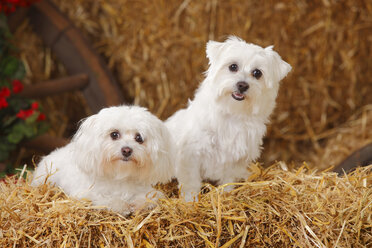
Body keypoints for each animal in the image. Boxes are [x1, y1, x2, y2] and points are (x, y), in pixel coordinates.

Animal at [31, 104, 174, 215]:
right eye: (114, 134)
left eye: (139, 138)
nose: (127, 150)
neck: (119, 176)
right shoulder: (85, 194)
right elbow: (105, 199)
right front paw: (120, 205)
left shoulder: (148, 191)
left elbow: (152, 197)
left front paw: (140, 203)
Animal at [167, 35, 292, 202]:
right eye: (233, 67)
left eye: (257, 73)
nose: (242, 85)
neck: (232, 114)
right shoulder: (190, 155)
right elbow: (190, 182)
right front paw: (189, 201)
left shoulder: (235, 162)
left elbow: (228, 181)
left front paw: (226, 196)